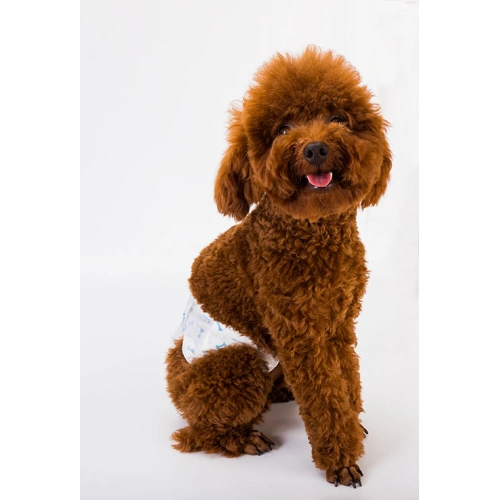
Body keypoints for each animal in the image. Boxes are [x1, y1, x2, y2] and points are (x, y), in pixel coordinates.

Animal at [166, 46, 391, 488]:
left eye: (338, 119)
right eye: (283, 129)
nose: (315, 149)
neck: (313, 233)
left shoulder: (338, 324)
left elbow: (347, 379)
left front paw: (354, 425)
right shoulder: (302, 335)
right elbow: (324, 397)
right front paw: (341, 458)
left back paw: (282, 390)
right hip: (234, 367)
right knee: (196, 433)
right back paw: (243, 438)